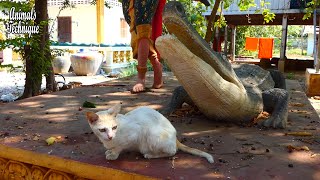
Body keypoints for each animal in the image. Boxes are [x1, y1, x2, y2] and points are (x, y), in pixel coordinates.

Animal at [86, 102, 214, 163]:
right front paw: (110, 151)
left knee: (172, 152)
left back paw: (150, 155)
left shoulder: (134, 134)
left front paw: (113, 154)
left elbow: (119, 147)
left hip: (152, 134)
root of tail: (175, 138)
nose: (110, 136)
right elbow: (113, 147)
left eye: (114, 127)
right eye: (102, 130)